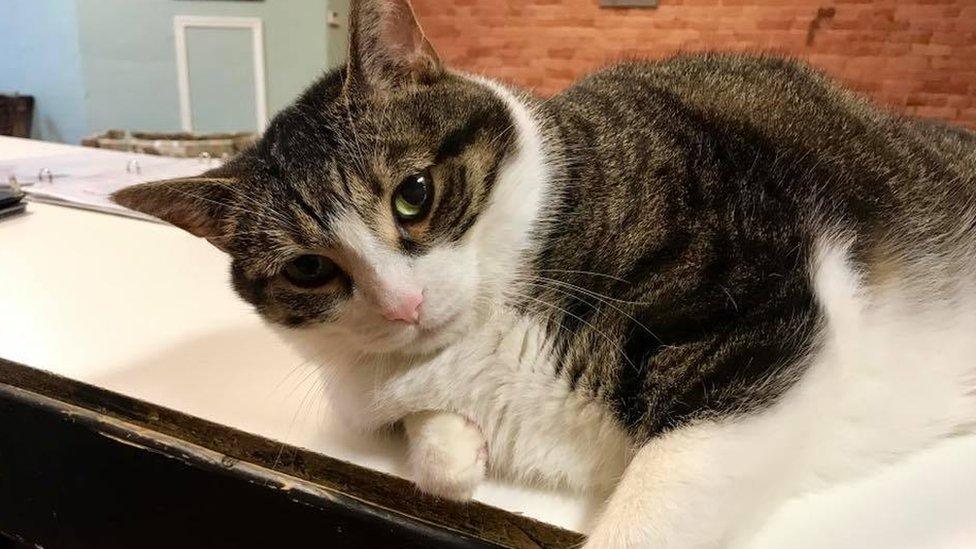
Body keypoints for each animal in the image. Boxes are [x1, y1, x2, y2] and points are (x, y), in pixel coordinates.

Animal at [114, 2, 976, 544]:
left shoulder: (767, 316)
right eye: (307, 268)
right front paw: (455, 449)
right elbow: (431, 445)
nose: (404, 304)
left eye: (414, 194)